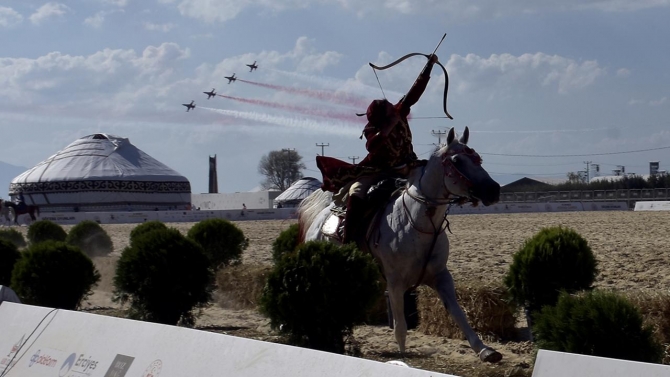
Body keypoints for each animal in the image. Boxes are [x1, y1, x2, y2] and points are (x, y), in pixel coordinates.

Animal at [300, 126, 504, 362]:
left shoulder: (441, 277)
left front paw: (485, 350)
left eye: (478, 158)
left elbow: (459, 313)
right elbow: (400, 326)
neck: (415, 223)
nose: (493, 190)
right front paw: (402, 355)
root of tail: (319, 218)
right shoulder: (395, 283)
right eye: (457, 160)